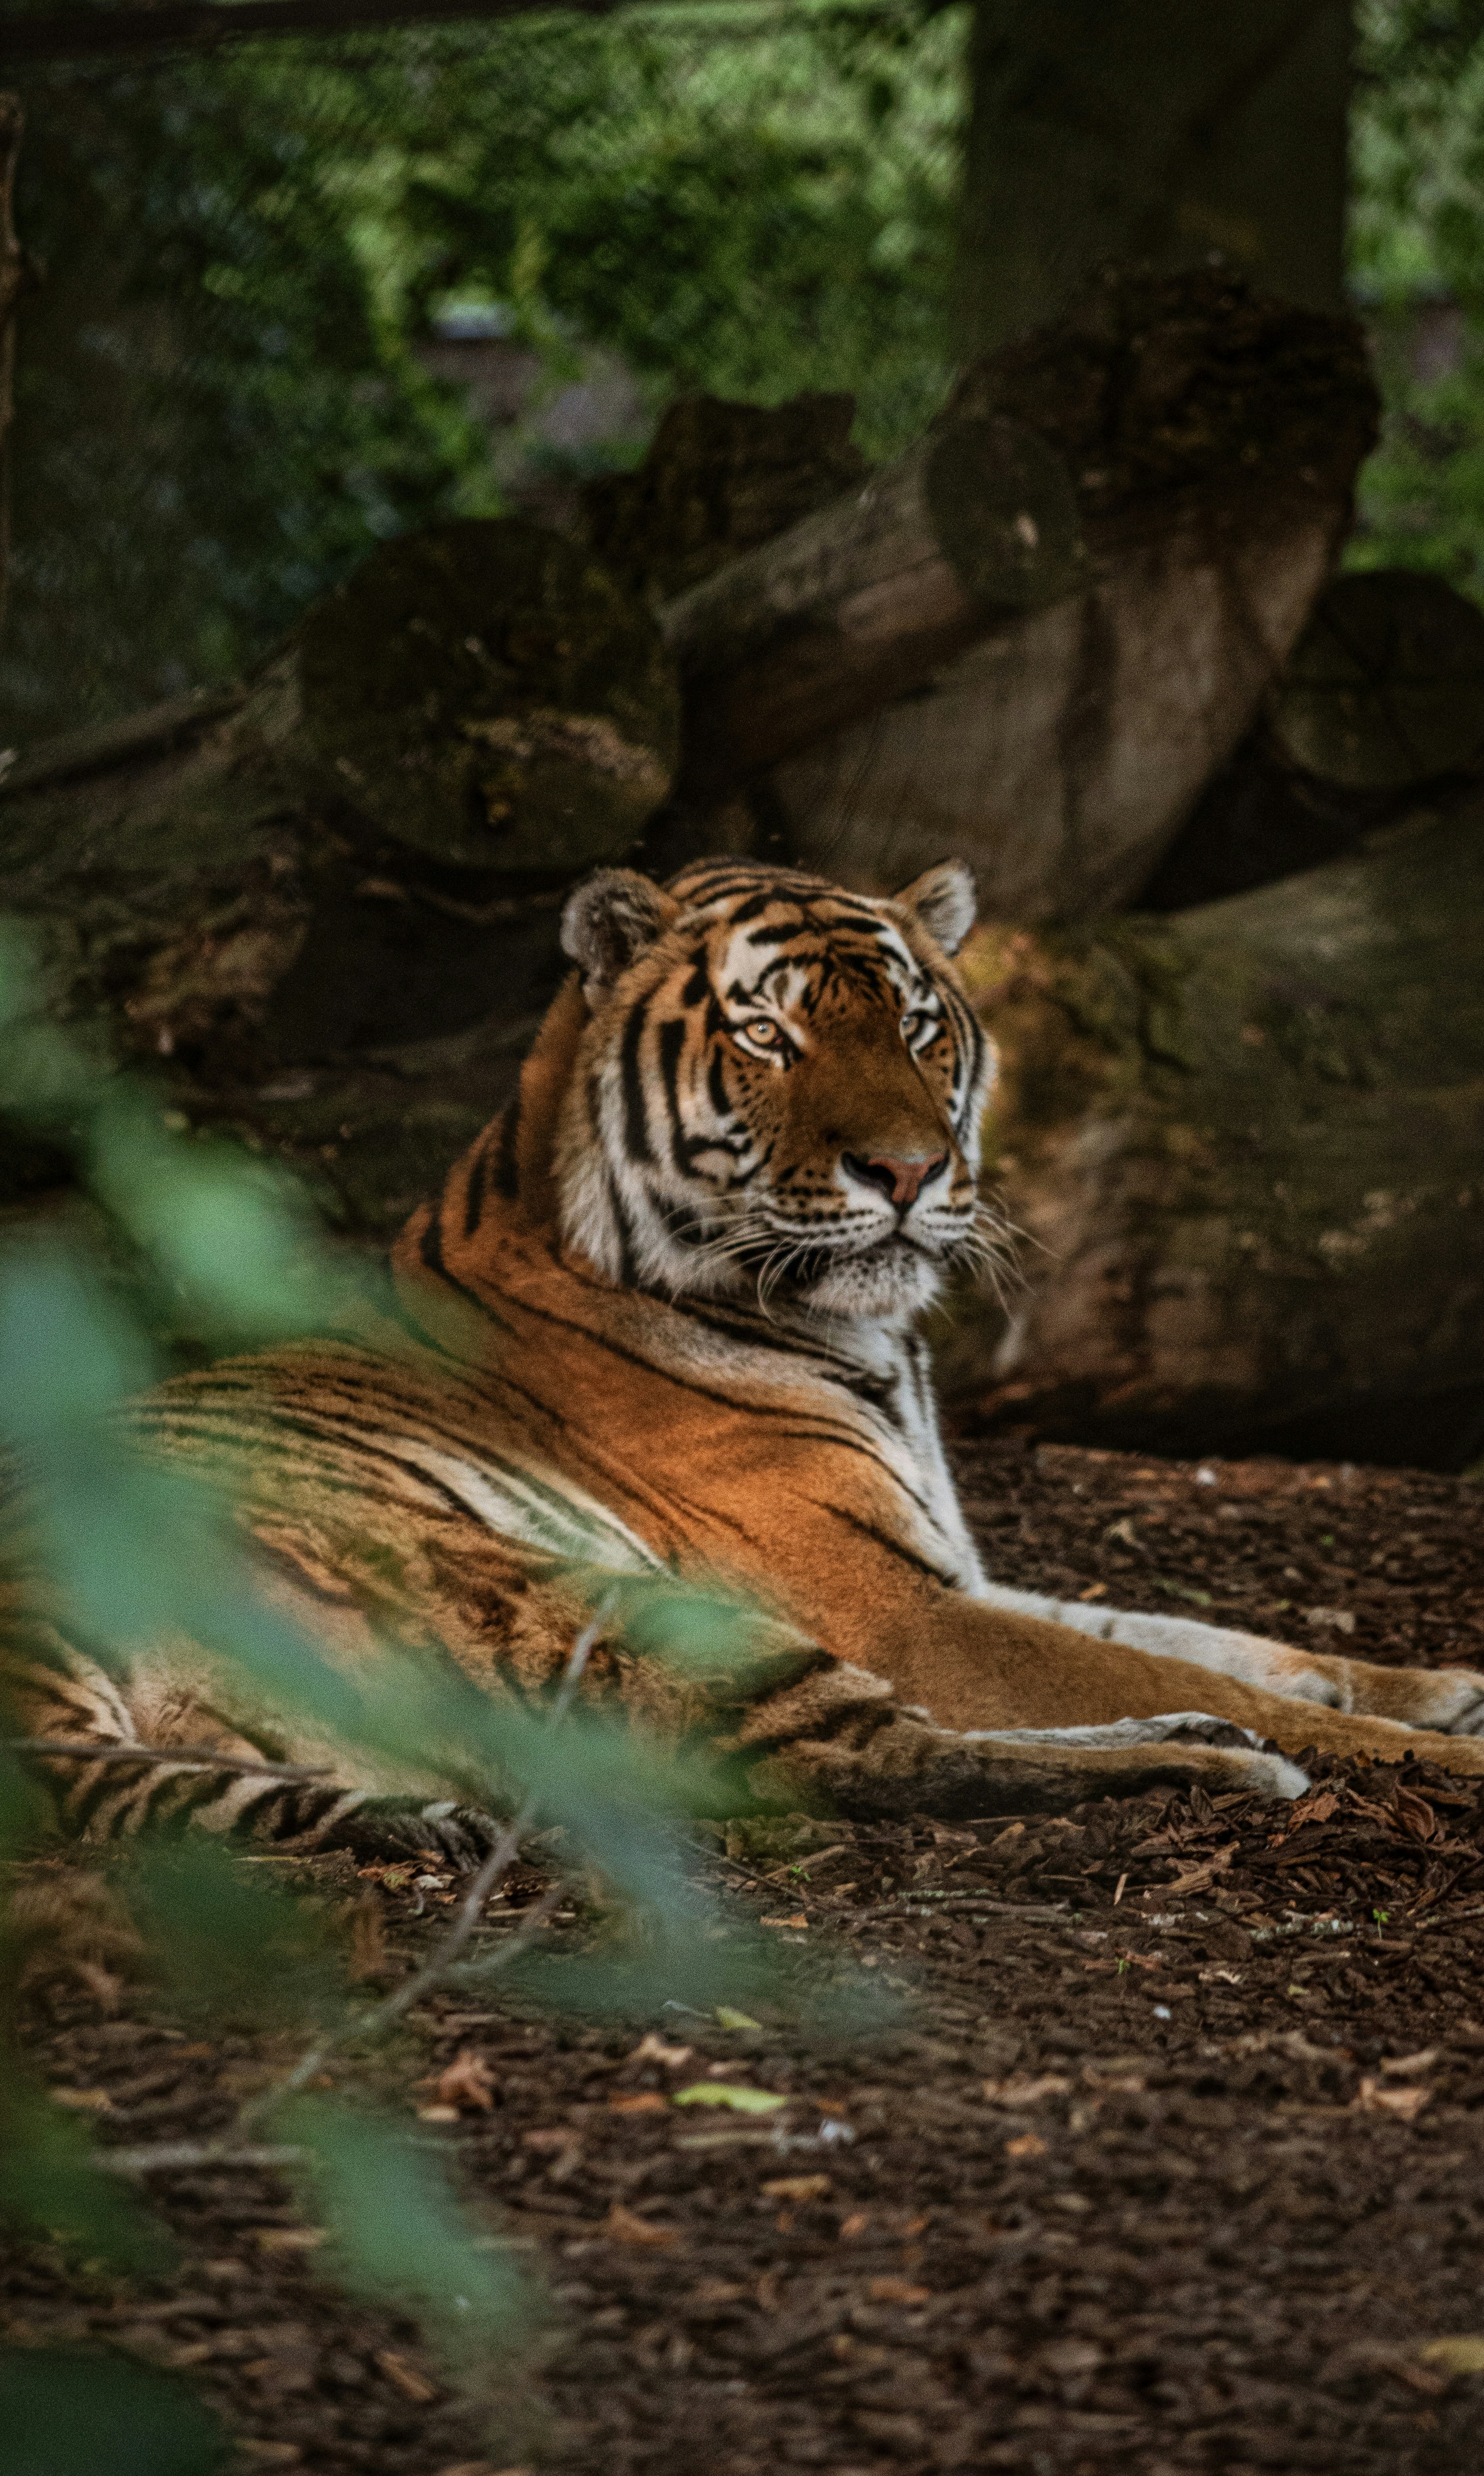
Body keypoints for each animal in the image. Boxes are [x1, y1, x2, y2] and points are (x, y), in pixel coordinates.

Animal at [7, 855, 1484, 1861]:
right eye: (768, 1035)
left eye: (919, 1027)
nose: (909, 1172)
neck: (872, 1341)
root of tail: (36, 1627)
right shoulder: (901, 1610)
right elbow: (1185, 1665)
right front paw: (1430, 1749)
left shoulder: (951, 1571)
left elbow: (1221, 1640)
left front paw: (1444, 1686)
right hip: (599, 1603)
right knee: (876, 1765)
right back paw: (1219, 1766)